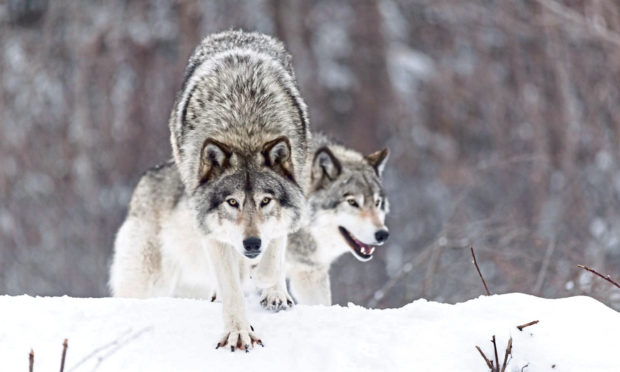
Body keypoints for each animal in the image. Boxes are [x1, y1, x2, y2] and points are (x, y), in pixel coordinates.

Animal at [109, 31, 312, 352]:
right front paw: (238, 333)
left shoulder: (291, 201)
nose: (251, 243)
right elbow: (231, 287)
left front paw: (267, 284)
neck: (244, 128)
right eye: (232, 202)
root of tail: (237, 32)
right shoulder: (211, 228)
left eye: (266, 200)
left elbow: (272, 257)